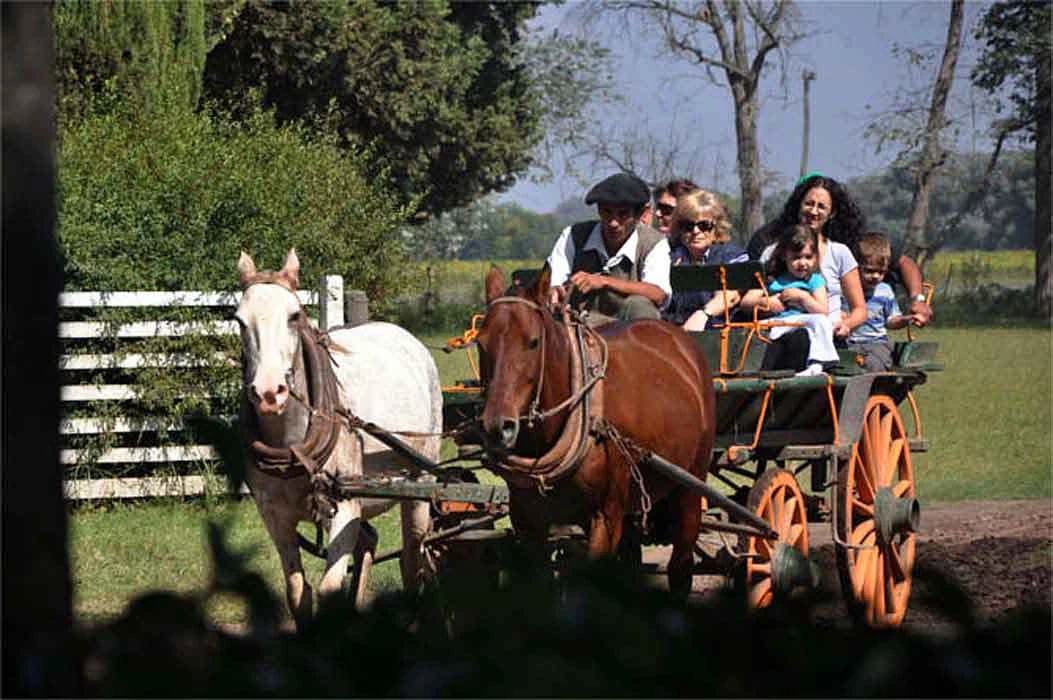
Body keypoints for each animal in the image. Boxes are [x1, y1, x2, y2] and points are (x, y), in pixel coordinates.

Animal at [234, 247, 440, 627]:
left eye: (294, 315)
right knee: (370, 542)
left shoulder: (344, 506)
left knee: (413, 556)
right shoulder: (274, 516)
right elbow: (297, 591)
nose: (269, 392)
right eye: (240, 320)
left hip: (421, 483)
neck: (292, 443)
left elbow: (329, 588)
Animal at [480, 265, 716, 593]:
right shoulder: (528, 523)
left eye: (533, 342)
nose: (496, 426)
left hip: (691, 484)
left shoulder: (605, 518)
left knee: (681, 562)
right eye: (480, 343)